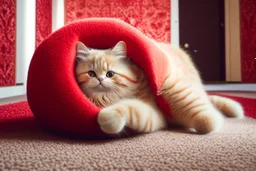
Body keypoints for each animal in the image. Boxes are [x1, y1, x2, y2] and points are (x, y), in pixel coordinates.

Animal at [75, 40, 243, 135]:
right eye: (91, 73)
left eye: (110, 74)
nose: (100, 79)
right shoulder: (154, 115)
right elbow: (136, 111)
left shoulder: (153, 110)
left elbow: (128, 108)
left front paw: (105, 116)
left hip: (174, 90)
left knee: (210, 118)